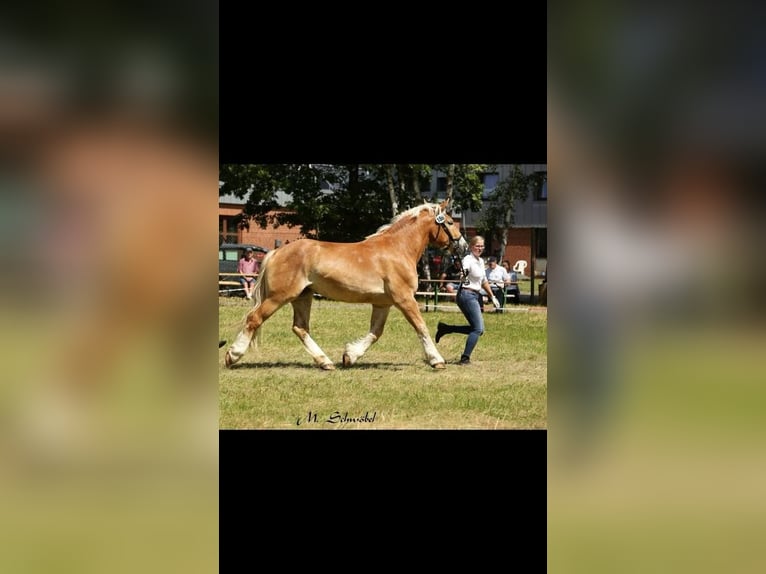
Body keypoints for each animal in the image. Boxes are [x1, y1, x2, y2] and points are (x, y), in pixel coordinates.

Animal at [224, 199, 468, 370]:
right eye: (449, 222)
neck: (398, 249)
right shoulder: (404, 299)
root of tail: (276, 252)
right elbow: (421, 327)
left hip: (303, 297)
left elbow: (375, 332)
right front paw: (437, 360)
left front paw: (350, 356)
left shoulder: (383, 303)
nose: (464, 247)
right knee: (254, 319)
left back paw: (326, 362)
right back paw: (232, 355)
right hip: (279, 297)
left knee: (300, 328)